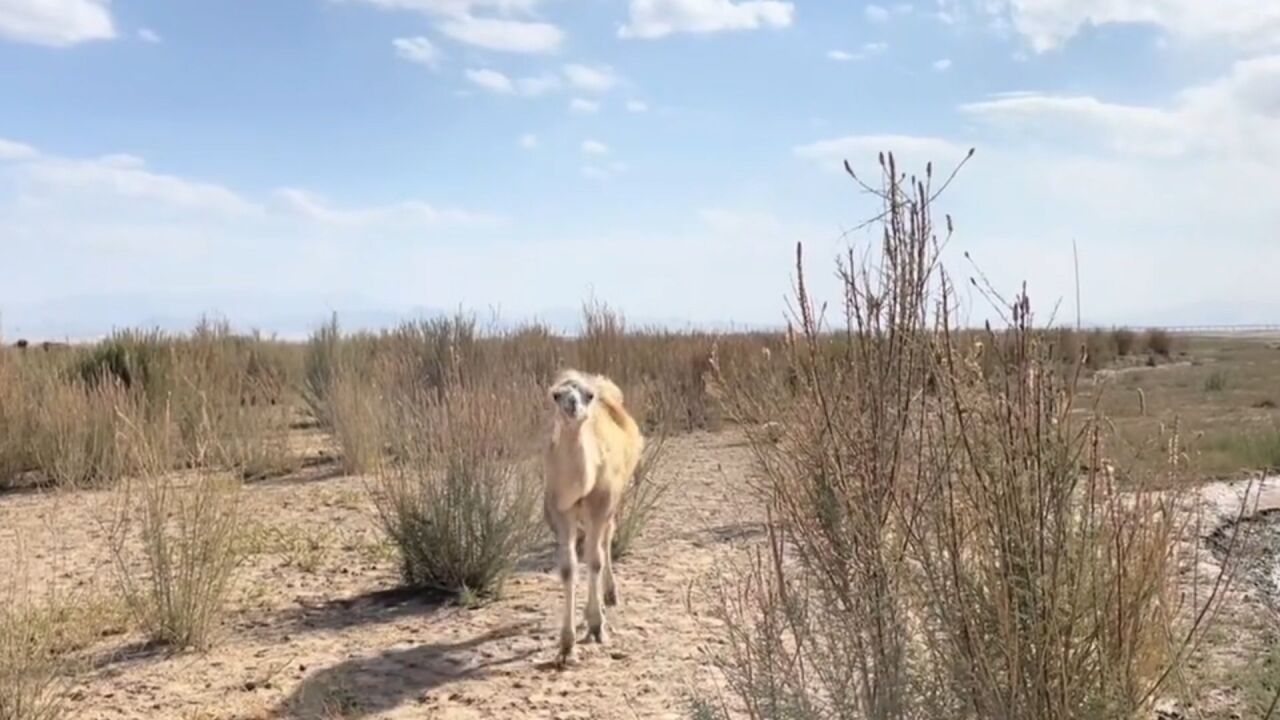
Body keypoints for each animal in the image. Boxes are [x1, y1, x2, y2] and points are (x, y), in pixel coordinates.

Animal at [542, 368, 645, 661]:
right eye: (556, 395)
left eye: (587, 395)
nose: (572, 405)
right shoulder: (560, 509)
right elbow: (568, 568)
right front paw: (566, 645)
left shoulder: (602, 502)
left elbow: (595, 560)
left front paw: (597, 626)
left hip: (615, 499)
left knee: (606, 540)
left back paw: (609, 596)